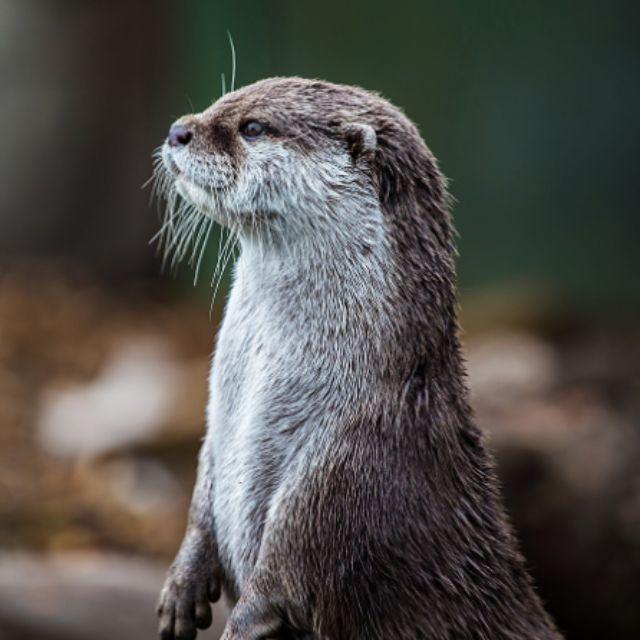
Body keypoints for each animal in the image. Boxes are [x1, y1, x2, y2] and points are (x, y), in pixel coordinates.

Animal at [155, 76, 560, 640]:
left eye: (253, 127)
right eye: (222, 100)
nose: (177, 130)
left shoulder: (338, 473)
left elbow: (280, 582)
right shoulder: (216, 429)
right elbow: (200, 501)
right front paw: (181, 587)